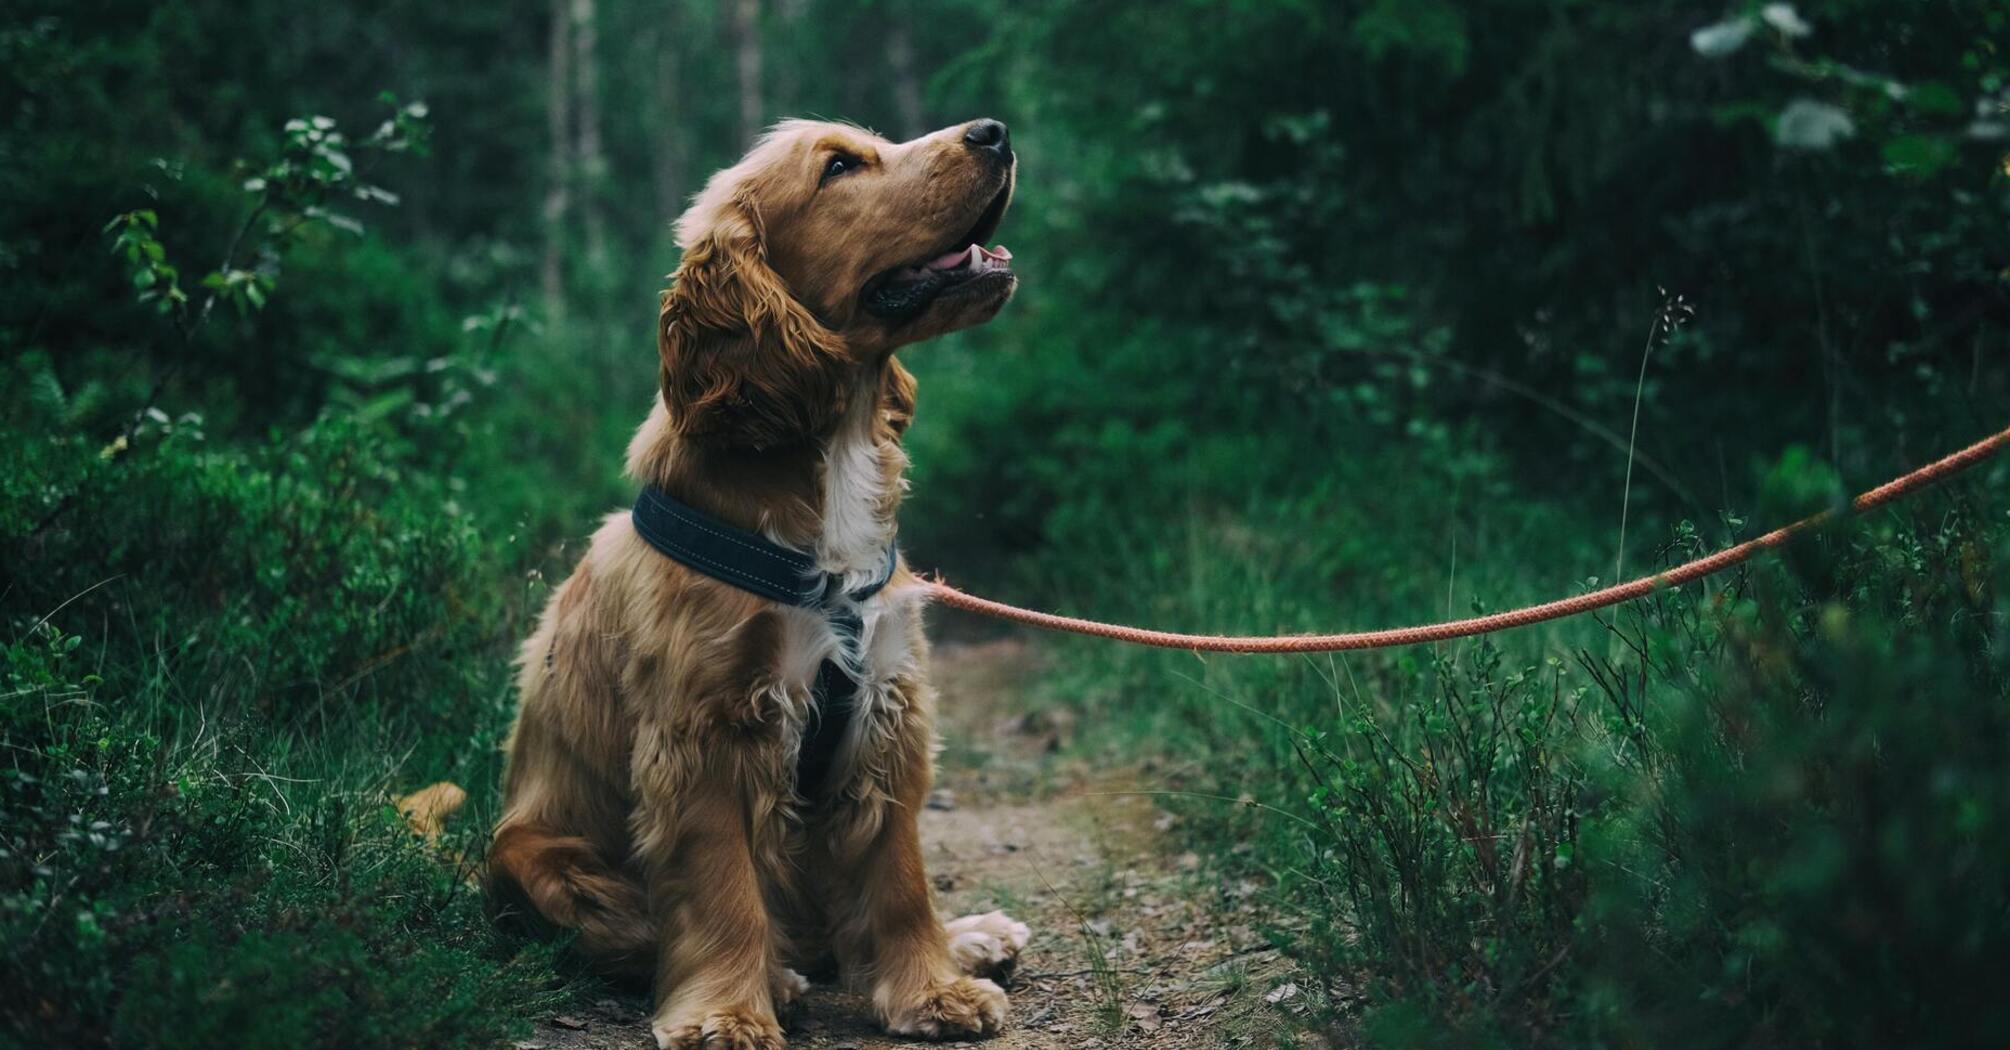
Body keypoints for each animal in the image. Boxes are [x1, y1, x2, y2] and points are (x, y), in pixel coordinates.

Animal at [482, 118, 1021, 1037]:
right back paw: (779, 977)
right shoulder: (707, 730)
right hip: (534, 856)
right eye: (838, 167)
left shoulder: (886, 707)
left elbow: (899, 878)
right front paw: (727, 1012)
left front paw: (933, 990)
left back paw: (972, 936)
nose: (994, 131)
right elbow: (722, 887)